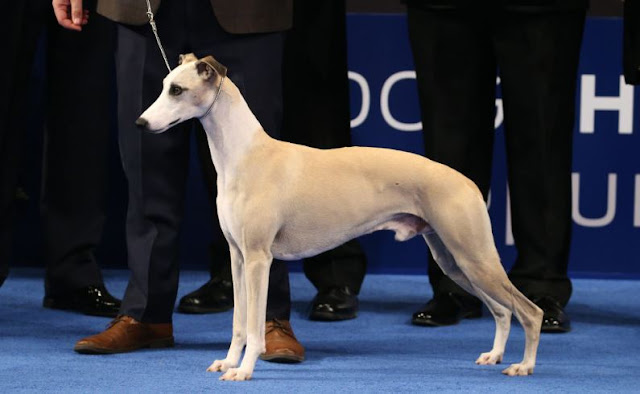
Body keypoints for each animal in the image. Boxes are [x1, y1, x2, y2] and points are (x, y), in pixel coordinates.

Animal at [138, 53, 544, 380]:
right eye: (164, 86)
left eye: (177, 89)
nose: (141, 124)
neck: (245, 154)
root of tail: (467, 182)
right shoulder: (237, 257)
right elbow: (239, 323)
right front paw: (228, 362)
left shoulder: (258, 259)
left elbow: (254, 326)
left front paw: (245, 370)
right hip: (455, 261)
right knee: (502, 311)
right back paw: (494, 355)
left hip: (474, 257)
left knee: (529, 311)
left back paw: (523, 365)